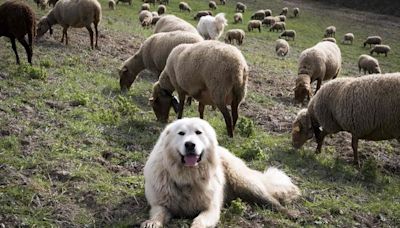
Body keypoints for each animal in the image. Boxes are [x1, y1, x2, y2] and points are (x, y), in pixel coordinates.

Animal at [141, 118, 300, 227]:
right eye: (181, 133)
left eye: (198, 132)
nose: (190, 144)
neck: (187, 176)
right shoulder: (160, 205)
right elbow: (158, 214)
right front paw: (152, 223)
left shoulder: (211, 209)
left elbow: (199, 221)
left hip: (245, 183)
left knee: (271, 201)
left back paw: (291, 214)